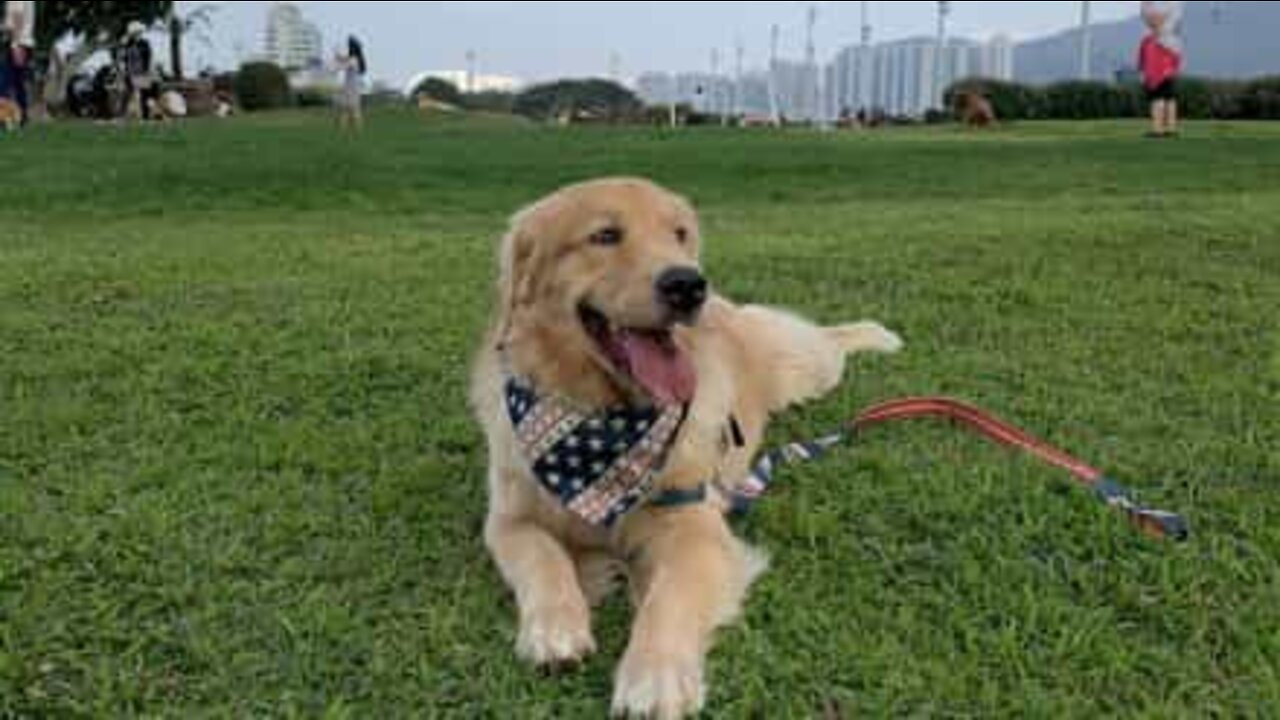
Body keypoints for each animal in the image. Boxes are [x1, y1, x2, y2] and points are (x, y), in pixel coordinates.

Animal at [476, 176, 906, 712]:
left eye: (679, 233)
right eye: (604, 235)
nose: (687, 284)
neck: (602, 419)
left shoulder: (695, 524)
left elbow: (669, 596)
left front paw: (654, 676)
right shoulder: (509, 518)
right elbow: (543, 557)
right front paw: (556, 627)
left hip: (805, 367)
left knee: (829, 338)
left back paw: (877, 333)